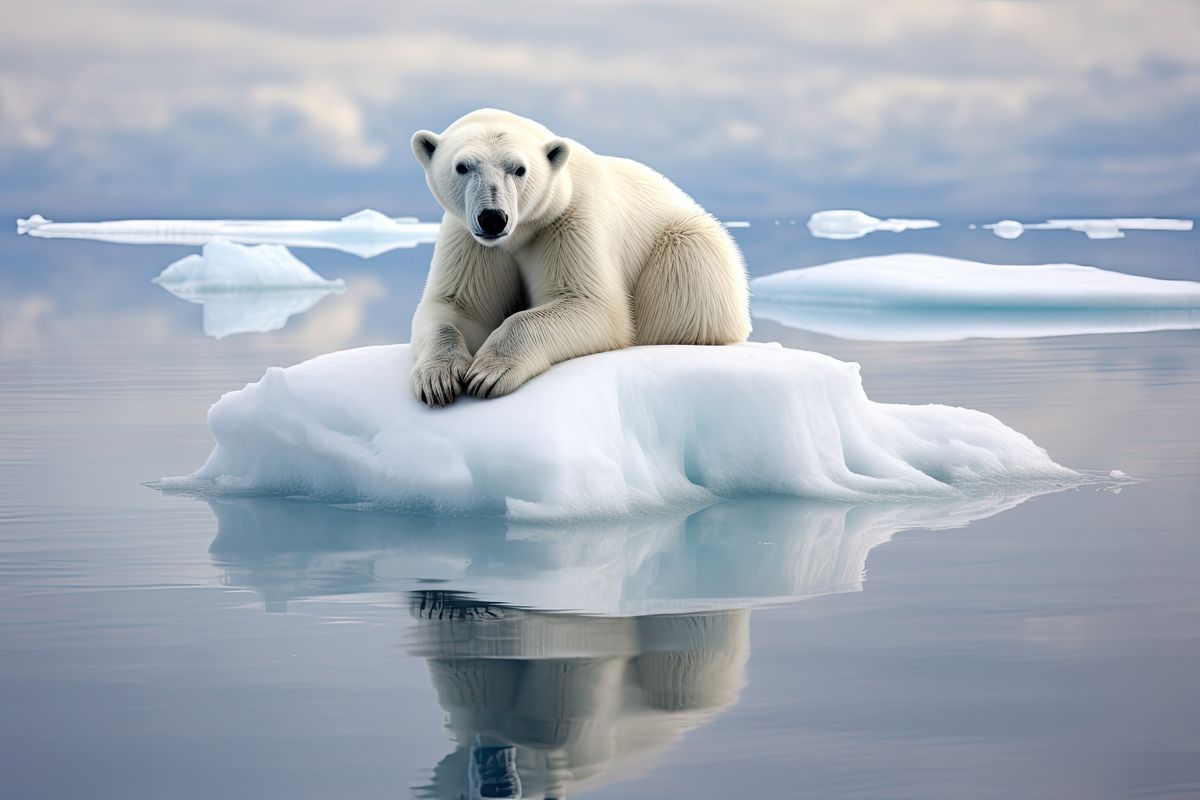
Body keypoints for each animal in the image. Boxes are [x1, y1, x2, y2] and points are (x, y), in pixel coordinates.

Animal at [412, 108, 748, 402]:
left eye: (519, 169)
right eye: (462, 166)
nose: (493, 218)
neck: (521, 232)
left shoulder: (568, 222)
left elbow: (591, 305)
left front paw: (487, 373)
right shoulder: (470, 240)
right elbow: (459, 306)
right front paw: (438, 379)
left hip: (685, 249)